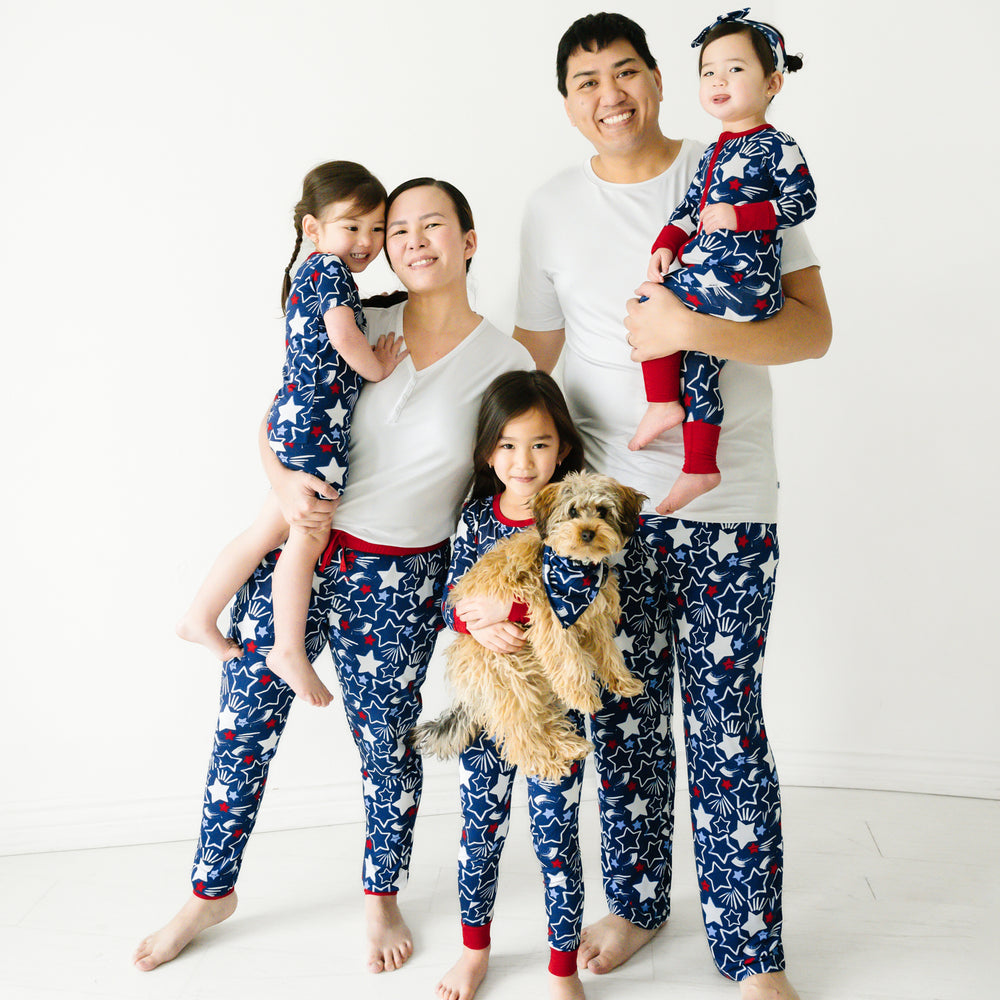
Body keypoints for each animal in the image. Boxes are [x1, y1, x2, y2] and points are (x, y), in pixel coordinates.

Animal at [408, 470, 648, 780]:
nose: (587, 533)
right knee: (520, 734)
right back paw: (547, 762)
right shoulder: (553, 622)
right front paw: (584, 697)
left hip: (531, 679)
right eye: (572, 512)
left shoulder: (596, 619)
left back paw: (569, 746)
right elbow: (571, 663)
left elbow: (609, 652)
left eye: (603, 511)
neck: (576, 571)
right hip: (510, 680)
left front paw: (623, 681)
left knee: (542, 720)